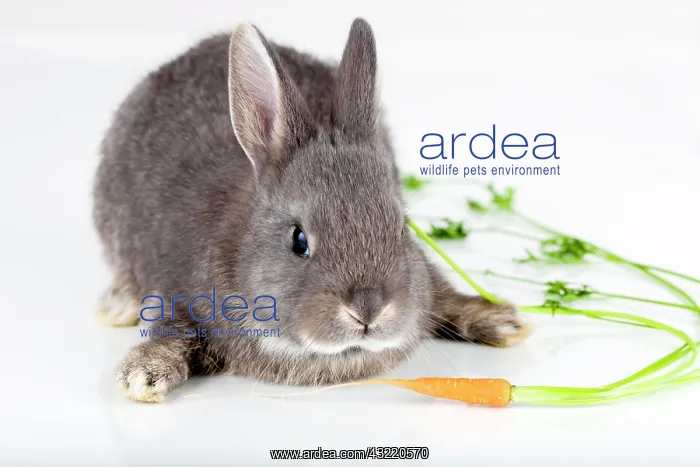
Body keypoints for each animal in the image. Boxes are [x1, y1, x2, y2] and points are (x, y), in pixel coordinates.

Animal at [93, 18, 530, 403]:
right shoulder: (177, 296)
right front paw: (143, 375)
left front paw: (503, 321)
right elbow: (173, 332)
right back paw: (118, 305)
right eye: (298, 240)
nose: (368, 310)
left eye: (402, 227)